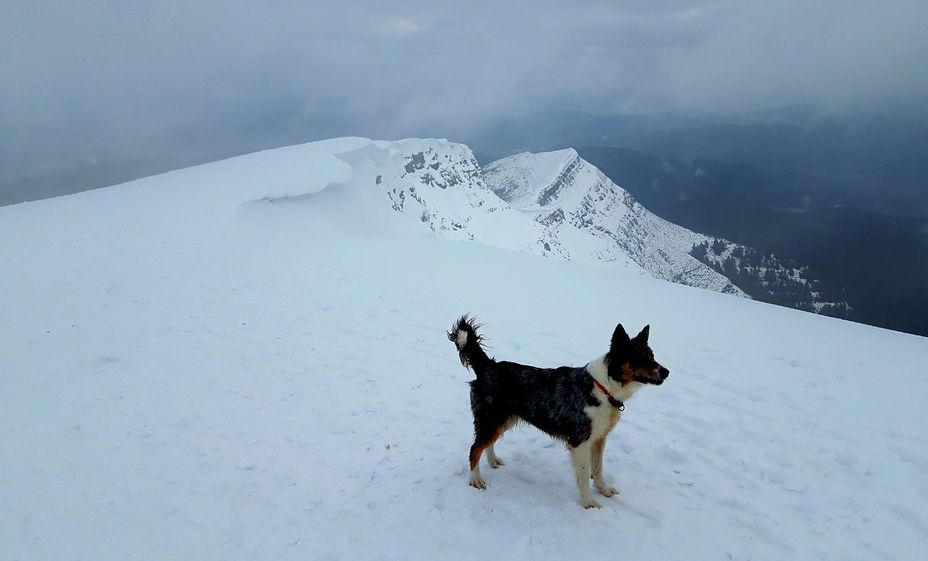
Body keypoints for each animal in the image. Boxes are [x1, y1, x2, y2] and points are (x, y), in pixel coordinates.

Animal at [448, 316, 668, 508]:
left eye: (652, 355)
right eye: (639, 357)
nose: (666, 372)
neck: (603, 388)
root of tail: (488, 366)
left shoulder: (599, 438)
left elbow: (598, 469)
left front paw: (603, 490)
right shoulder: (580, 441)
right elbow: (584, 474)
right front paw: (588, 503)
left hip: (502, 420)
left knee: (486, 444)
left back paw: (493, 461)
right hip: (491, 419)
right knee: (474, 448)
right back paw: (475, 480)